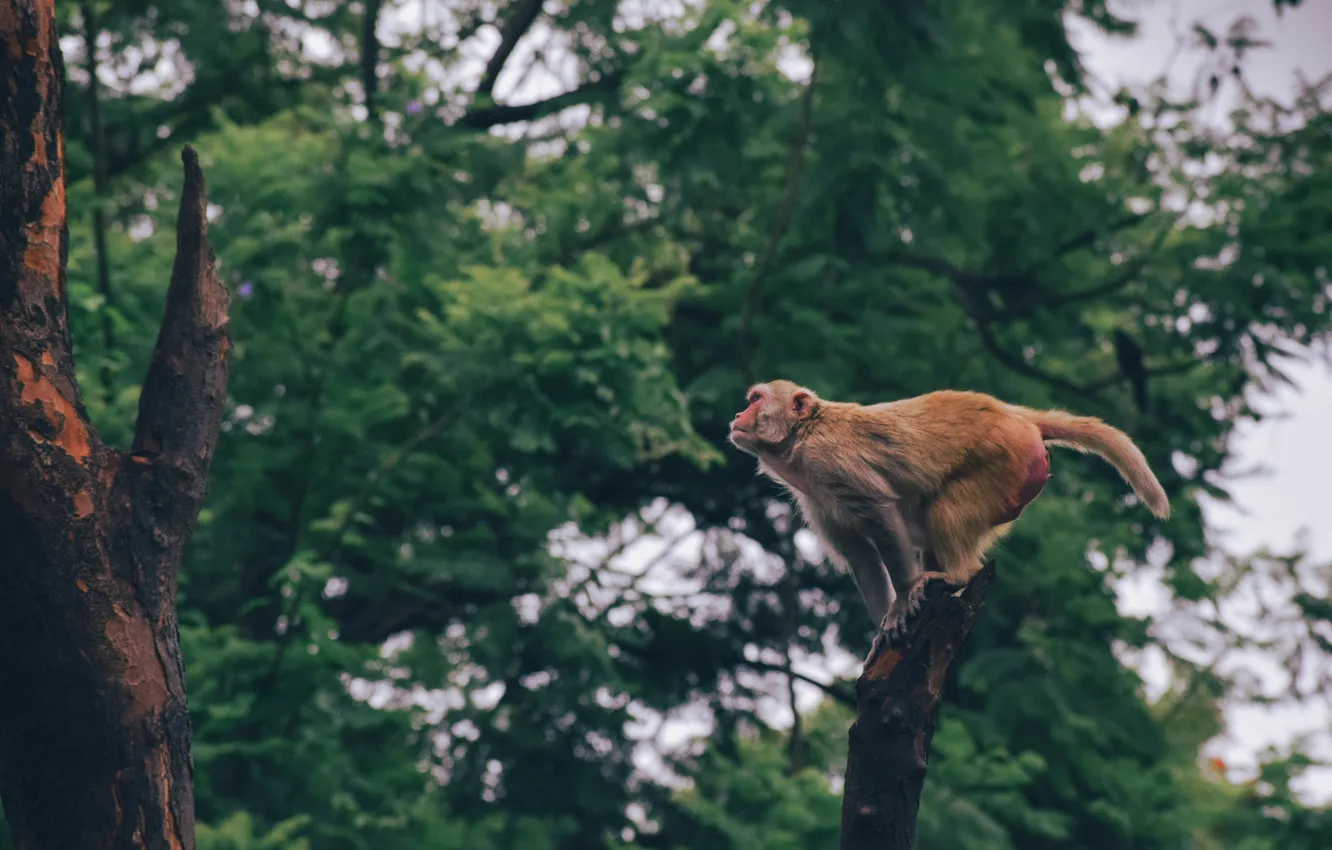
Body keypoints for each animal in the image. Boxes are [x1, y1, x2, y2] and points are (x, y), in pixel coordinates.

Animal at [727, 380, 1169, 655]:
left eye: (756, 399)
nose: (735, 416)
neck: (803, 435)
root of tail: (1017, 416)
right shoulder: (815, 499)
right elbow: (861, 558)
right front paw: (880, 632)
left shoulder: (831, 462)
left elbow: (881, 512)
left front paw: (903, 599)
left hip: (1002, 463)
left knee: (946, 509)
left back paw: (956, 575)